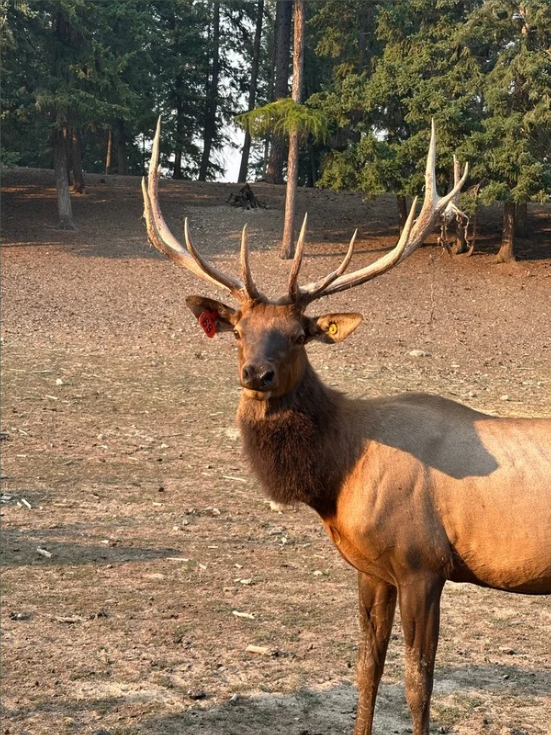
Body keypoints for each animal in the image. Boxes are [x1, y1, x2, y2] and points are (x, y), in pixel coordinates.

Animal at [141, 119, 551, 735]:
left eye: (298, 334)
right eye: (239, 331)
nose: (255, 373)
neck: (336, 476)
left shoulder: (422, 564)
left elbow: (418, 682)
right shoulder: (371, 568)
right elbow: (365, 668)